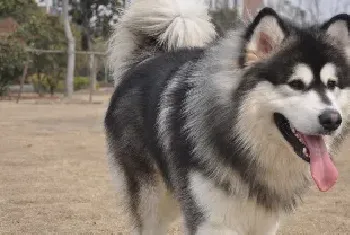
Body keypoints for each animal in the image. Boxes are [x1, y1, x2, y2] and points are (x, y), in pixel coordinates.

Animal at [104, 0, 350, 234]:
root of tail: (144, 61)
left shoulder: (264, 224)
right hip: (153, 202)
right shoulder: (213, 223)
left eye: (332, 84)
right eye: (296, 84)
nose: (332, 120)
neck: (242, 142)